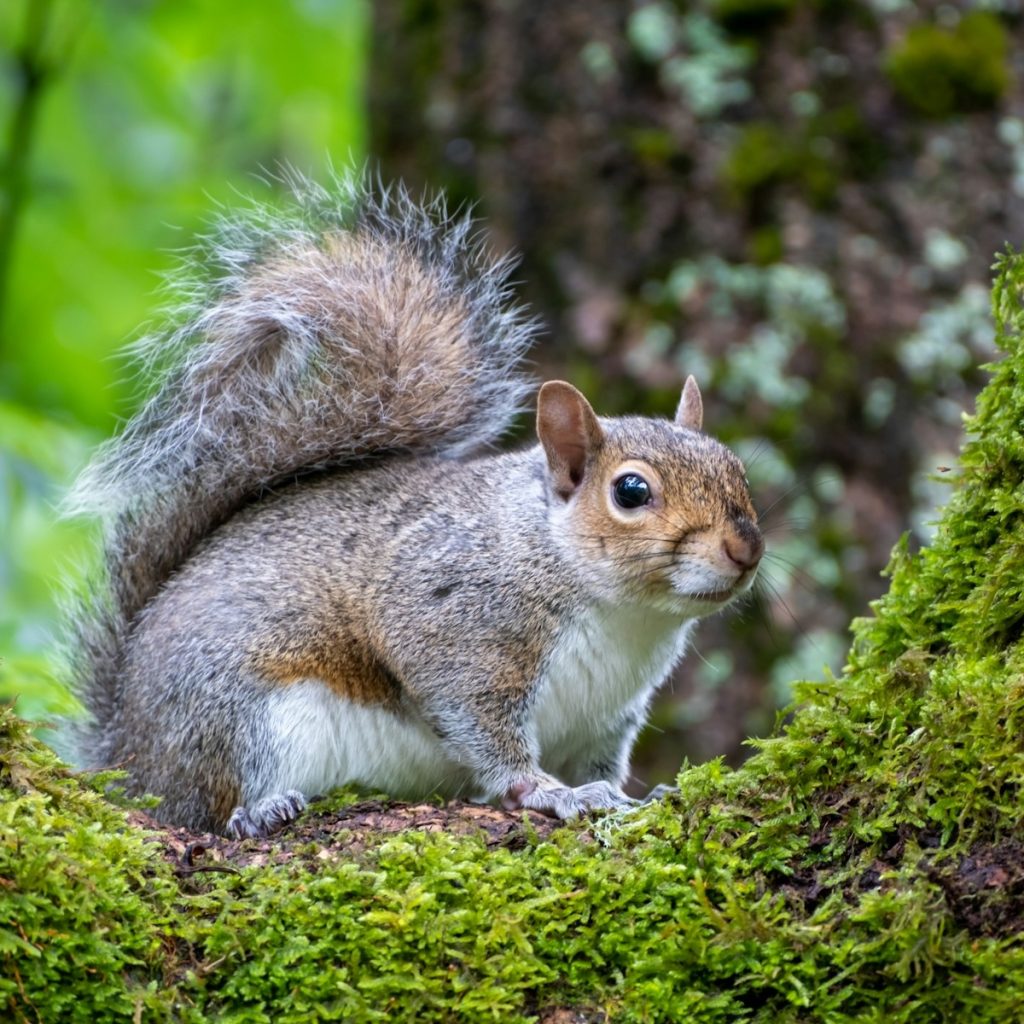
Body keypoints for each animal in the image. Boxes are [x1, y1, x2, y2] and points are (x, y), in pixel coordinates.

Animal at [65, 174, 763, 839]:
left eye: (736, 468)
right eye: (631, 491)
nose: (746, 549)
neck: (622, 612)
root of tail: (127, 754)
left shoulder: (607, 712)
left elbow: (602, 762)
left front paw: (635, 794)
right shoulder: (450, 622)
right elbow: (480, 725)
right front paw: (548, 791)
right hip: (240, 715)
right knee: (213, 799)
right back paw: (257, 810)